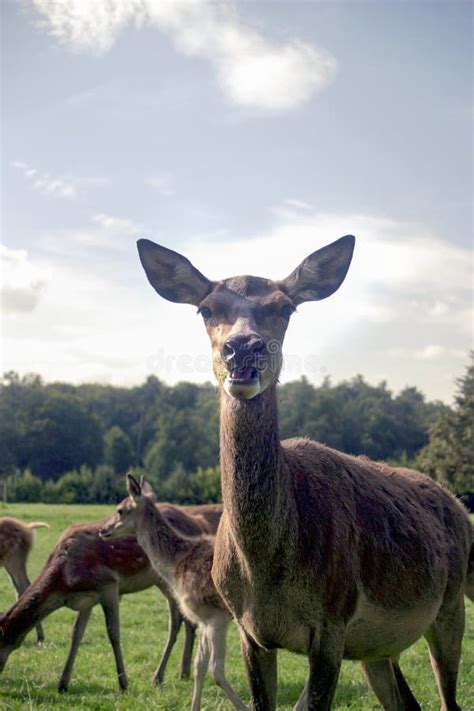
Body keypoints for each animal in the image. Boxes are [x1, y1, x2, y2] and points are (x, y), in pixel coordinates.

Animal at [98, 472, 250, 711]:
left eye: (120, 509)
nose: (103, 530)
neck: (176, 565)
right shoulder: (202, 619)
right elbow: (199, 665)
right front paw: (194, 706)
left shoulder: (216, 616)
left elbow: (216, 669)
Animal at [135, 238, 472, 711]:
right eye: (205, 308)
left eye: (285, 307)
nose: (244, 347)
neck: (267, 572)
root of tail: (456, 505)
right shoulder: (250, 631)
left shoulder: (332, 623)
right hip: (377, 648)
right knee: (406, 702)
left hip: (450, 605)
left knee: (447, 696)